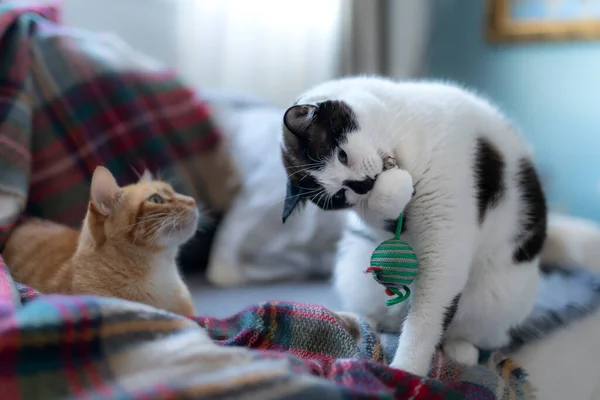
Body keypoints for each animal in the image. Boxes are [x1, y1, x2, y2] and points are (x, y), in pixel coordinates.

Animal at [278, 76, 548, 378]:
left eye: (342, 155)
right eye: (339, 196)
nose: (363, 185)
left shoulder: (445, 225)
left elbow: (428, 312)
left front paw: (407, 372)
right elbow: (384, 208)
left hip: (497, 297)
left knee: (478, 333)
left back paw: (462, 349)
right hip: (353, 271)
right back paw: (361, 321)